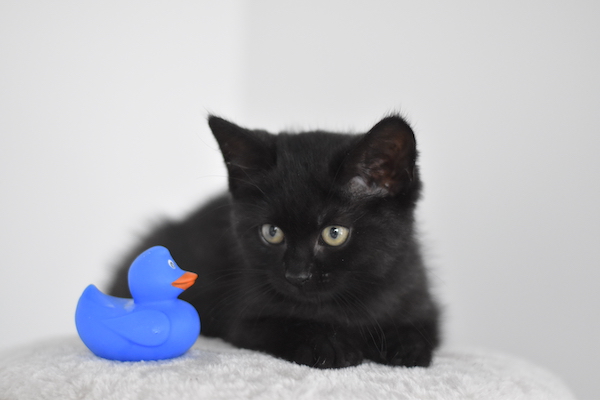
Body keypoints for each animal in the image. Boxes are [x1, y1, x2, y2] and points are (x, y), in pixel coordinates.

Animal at [108, 114, 440, 369]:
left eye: (334, 233)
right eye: (272, 232)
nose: (297, 275)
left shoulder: (418, 293)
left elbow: (421, 329)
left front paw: (403, 345)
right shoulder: (243, 317)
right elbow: (284, 325)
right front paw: (328, 344)